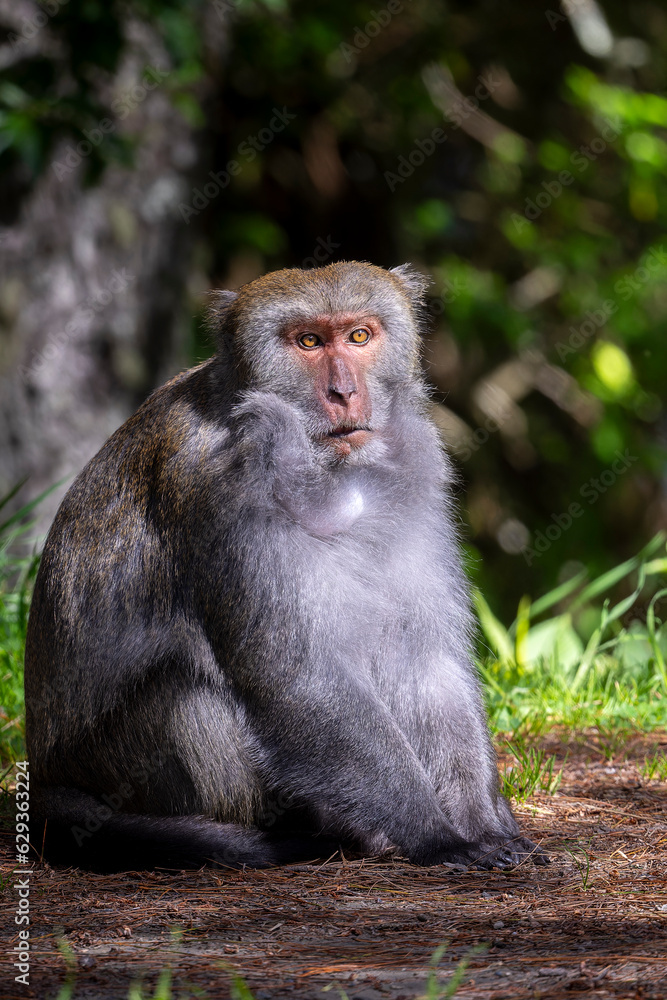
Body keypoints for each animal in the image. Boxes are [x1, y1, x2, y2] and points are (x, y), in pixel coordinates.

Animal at [24, 261, 546, 873]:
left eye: (359, 336)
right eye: (308, 342)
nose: (344, 392)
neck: (331, 471)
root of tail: (48, 780)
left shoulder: (415, 477)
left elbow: (425, 662)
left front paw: (479, 820)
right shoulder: (222, 486)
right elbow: (293, 674)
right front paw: (437, 835)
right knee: (186, 694)